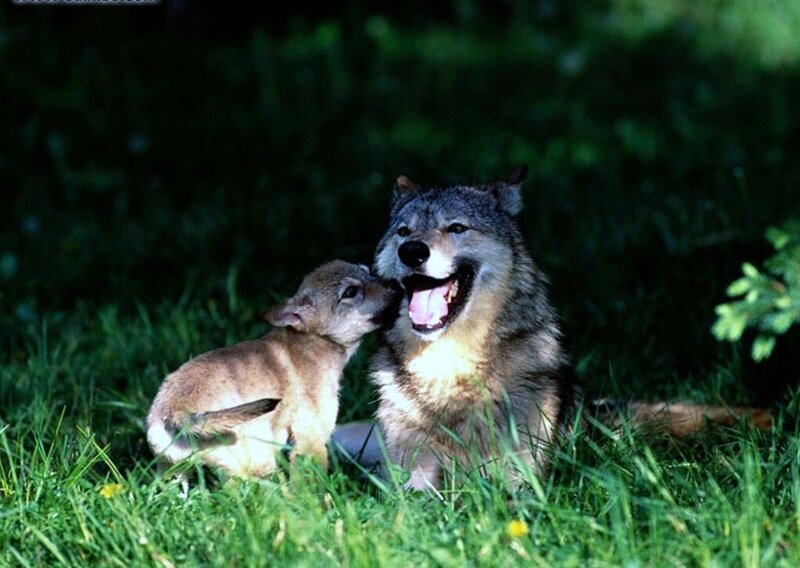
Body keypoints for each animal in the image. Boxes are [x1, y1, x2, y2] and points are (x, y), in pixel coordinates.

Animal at [147, 261, 400, 479]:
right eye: (350, 292)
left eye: (368, 271)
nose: (398, 284)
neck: (314, 342)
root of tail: (173, 412)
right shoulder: (311, 438)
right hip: (257, 459)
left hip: (175, 473)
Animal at [333, 166, 772, 491]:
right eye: (403, 232)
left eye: (457, 228)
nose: (412, 251)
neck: (447, 373)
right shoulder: (408, 481)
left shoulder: (521, 483)